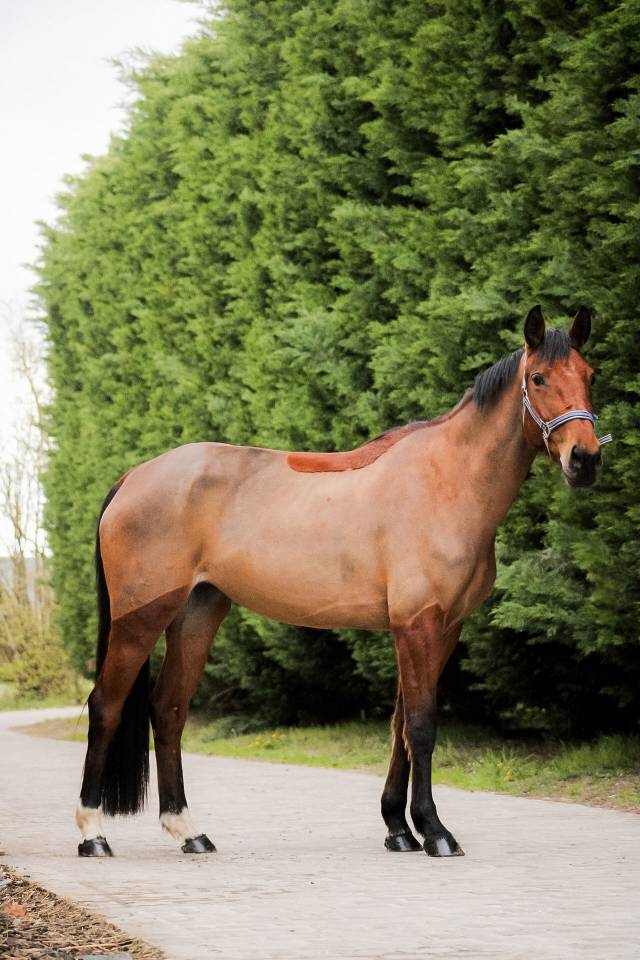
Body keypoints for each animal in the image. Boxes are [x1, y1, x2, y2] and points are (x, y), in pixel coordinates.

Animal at [75, 305, 612, 858]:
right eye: (538, 377)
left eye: (590, 375)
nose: (584, 459)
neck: (446, 482)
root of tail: (133, 477)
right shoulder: (418, 625)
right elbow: (421, 725)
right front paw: (435, 831)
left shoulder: (442, 629)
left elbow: (400, 727)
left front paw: (399, 829)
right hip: (140, 619)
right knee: (106, 706)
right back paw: (93, 835)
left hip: (197, 613)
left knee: (169, 710)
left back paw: (189, 831)